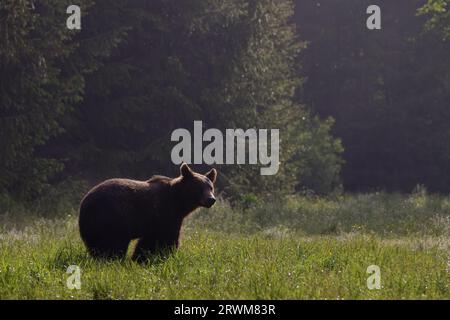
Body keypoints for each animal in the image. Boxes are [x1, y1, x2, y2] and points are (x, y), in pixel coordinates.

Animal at [78, 164, 217, 262]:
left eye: (210, 187)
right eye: (199, 187)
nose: (211, 199)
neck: (179, 202)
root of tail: (84, 202)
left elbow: (149, 241)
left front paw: (140, 258)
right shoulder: (165, 213)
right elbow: (163, 239)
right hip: (112, 216)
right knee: (112, 242)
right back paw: (112, 259)